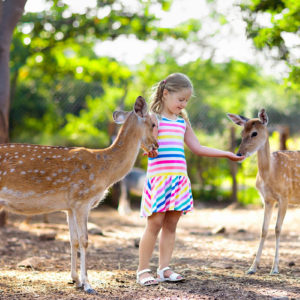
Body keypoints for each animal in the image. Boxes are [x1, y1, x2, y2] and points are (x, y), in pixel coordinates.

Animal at [0, 96, 158, 296]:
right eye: (153, 123)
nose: (156, 145)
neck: (105, 170)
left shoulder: (69, 206)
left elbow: (72, 240)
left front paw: (75, 279)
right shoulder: (82, 200)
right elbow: (85, 241)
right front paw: (88, 284)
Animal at [227, 109, 300, 276]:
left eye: (254, 133)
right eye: (241, 133)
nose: (239, 154)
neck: (271, 172)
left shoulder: (285, 196)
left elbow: (278, 229)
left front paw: (275, 269)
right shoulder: (267, 199)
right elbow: (264, 229)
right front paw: (252, 268)